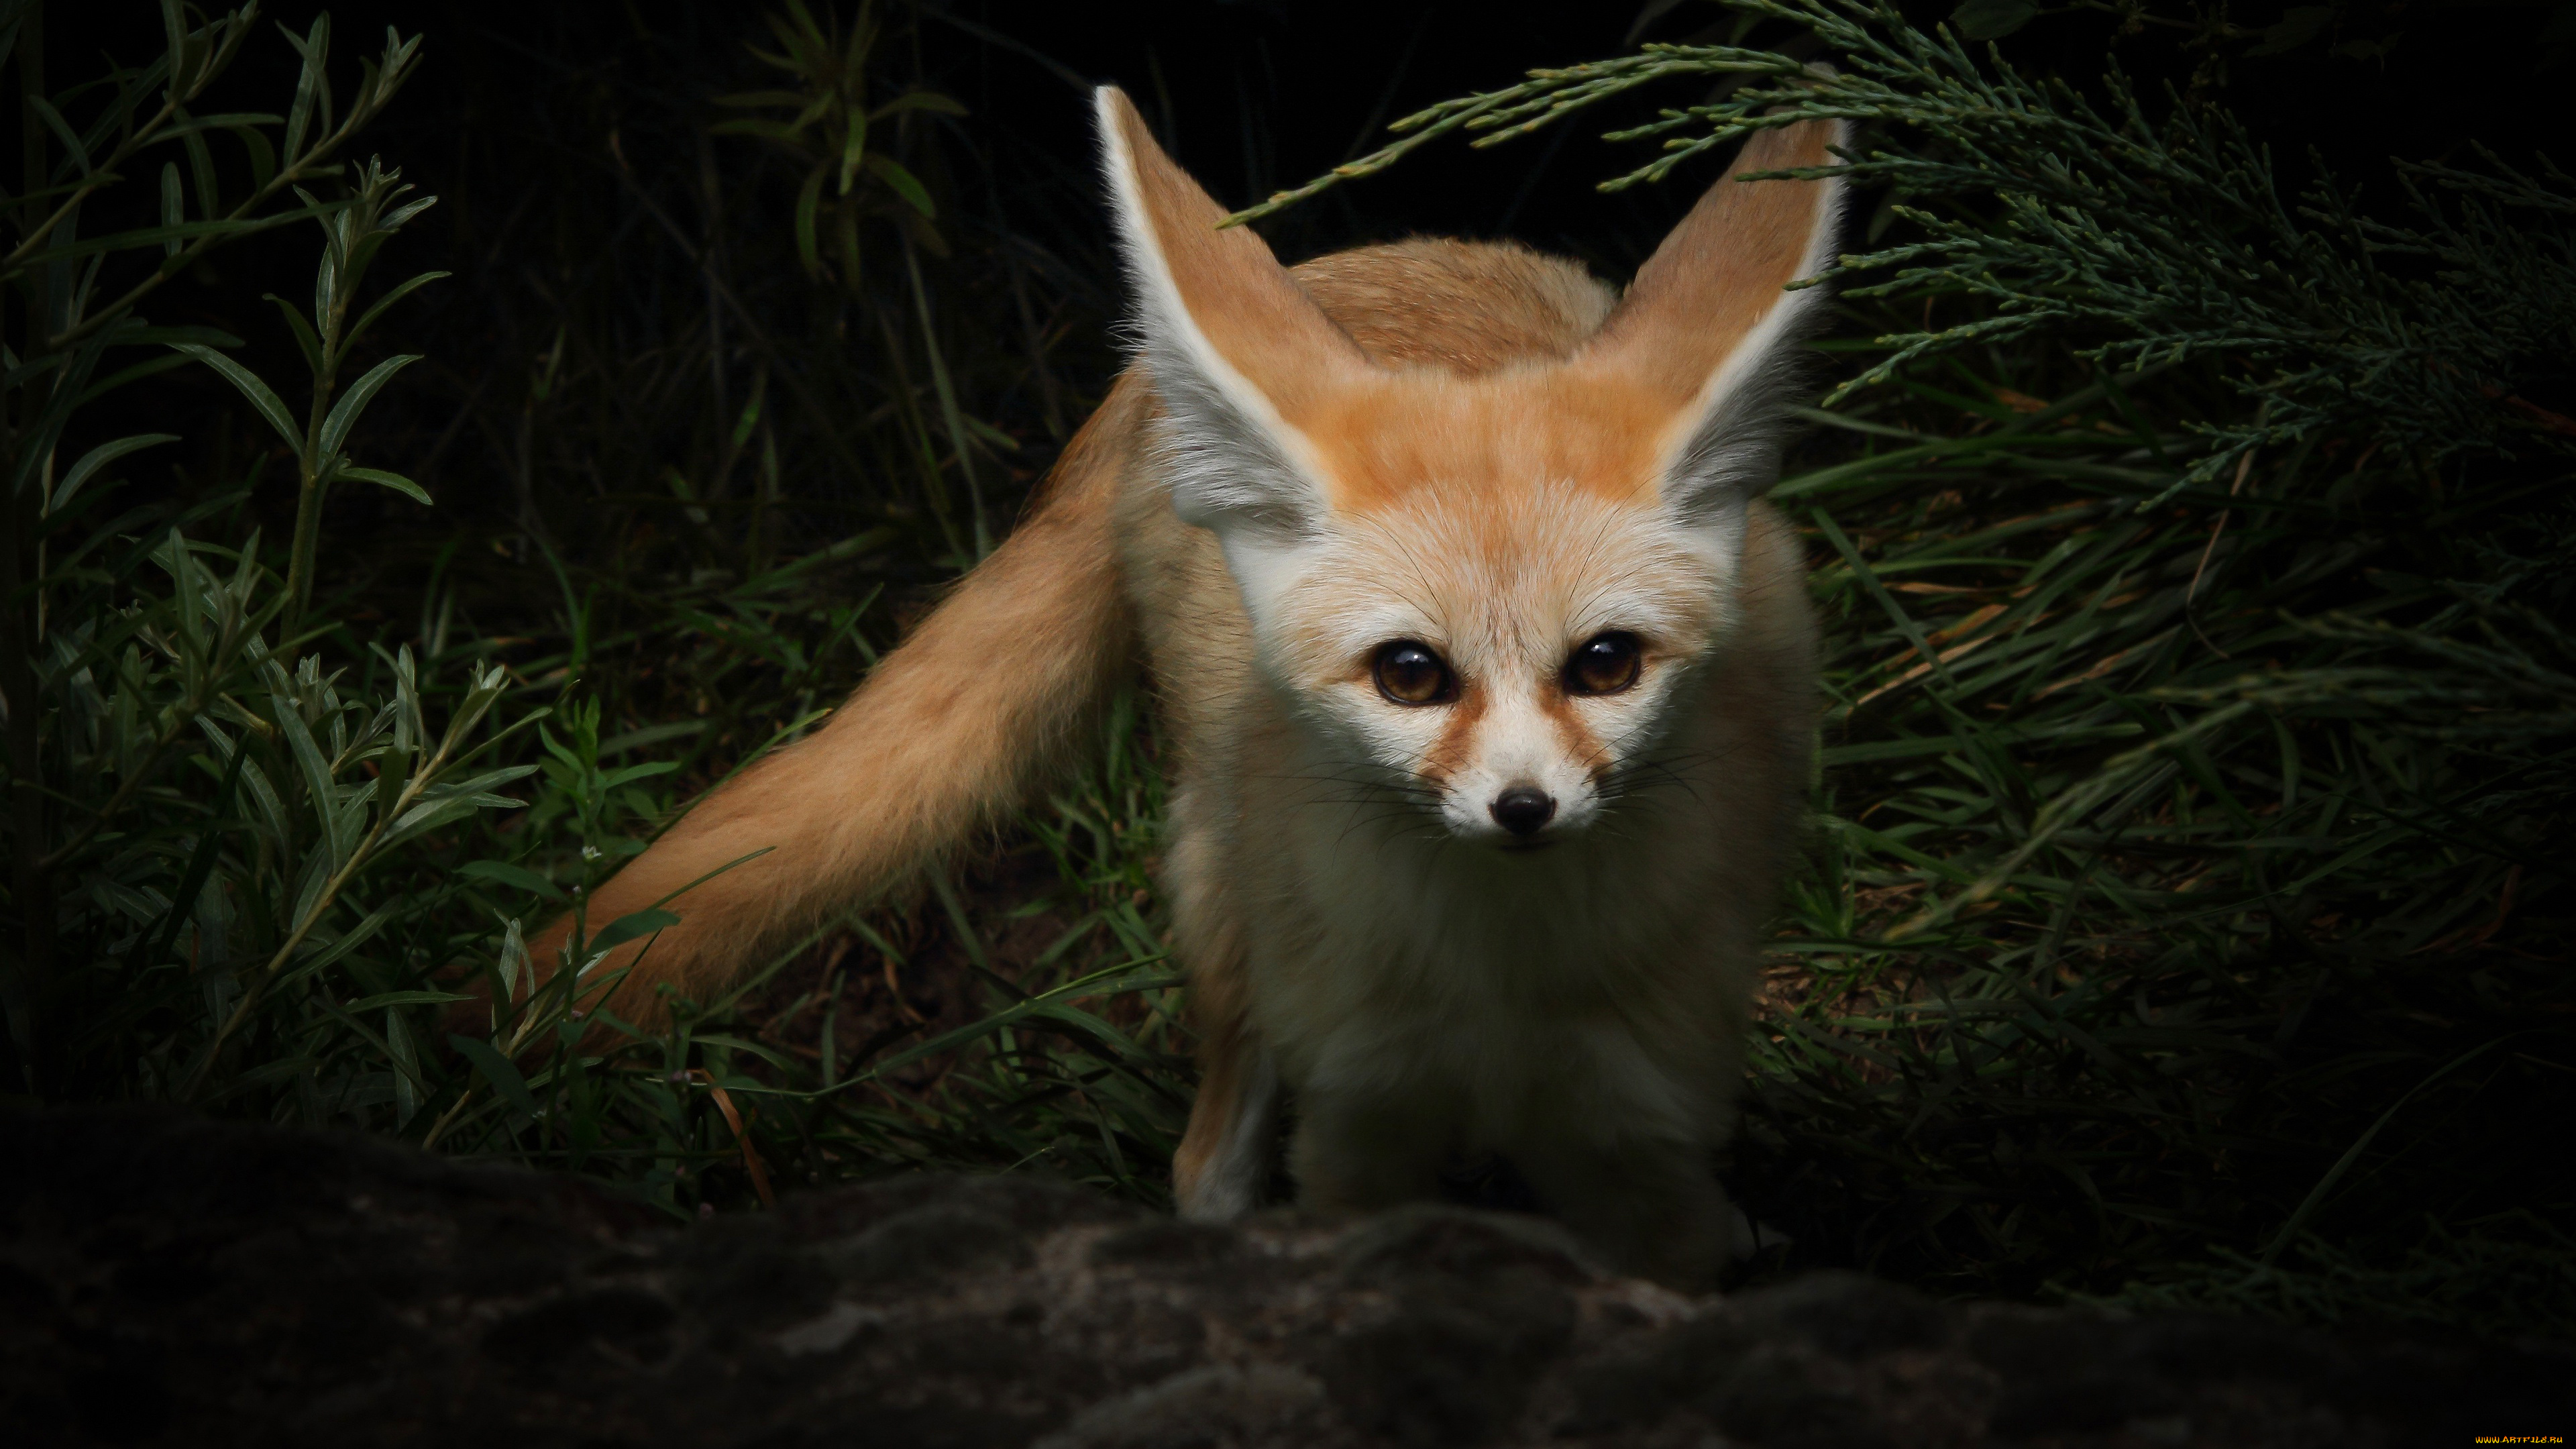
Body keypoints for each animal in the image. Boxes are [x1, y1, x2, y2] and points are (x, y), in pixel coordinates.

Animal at [530, 87, 1844, 1288]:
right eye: (1411, 674)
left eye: (1606, 662)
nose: (1524, 810)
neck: (1499, 985)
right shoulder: (1360, 1123)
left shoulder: (1643, 1124)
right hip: (1223, 911)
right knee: (1205, 1153)